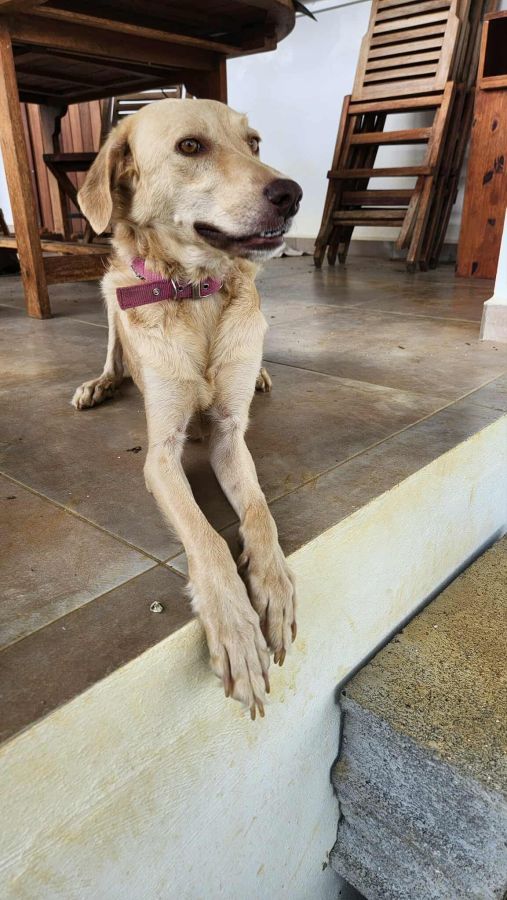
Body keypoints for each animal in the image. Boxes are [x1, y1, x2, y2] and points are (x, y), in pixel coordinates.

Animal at [73, 99, 302, 719]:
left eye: (254, 142)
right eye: (191, 147)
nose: (292, 193)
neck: (193, 293)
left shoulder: (229, 436)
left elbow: (259, 514)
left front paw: (274, 586)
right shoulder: (161, 457)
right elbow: (207, 537)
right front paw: (236, 626)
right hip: (108, 293)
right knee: (112, 349)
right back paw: (99, 383)